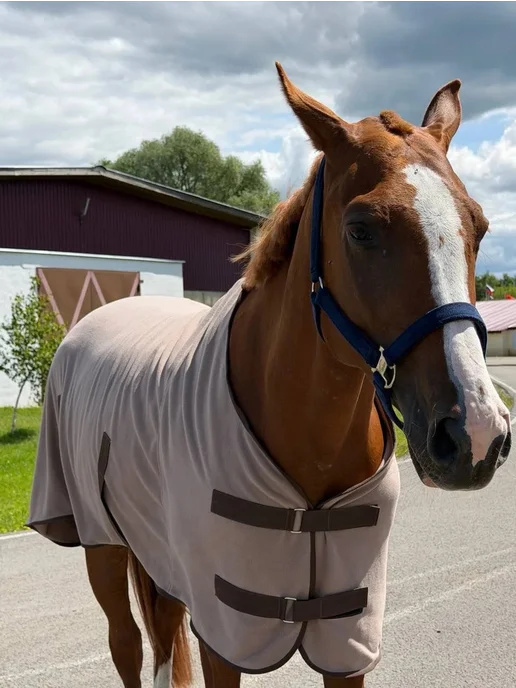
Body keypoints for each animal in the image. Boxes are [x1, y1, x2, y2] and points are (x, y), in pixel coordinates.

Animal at [27, 62, 511, 688]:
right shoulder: (225, 634)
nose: (476, 433)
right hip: (101, 547)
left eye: (478, 226)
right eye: (361, 229)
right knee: (128, 646)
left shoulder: (347, 638)